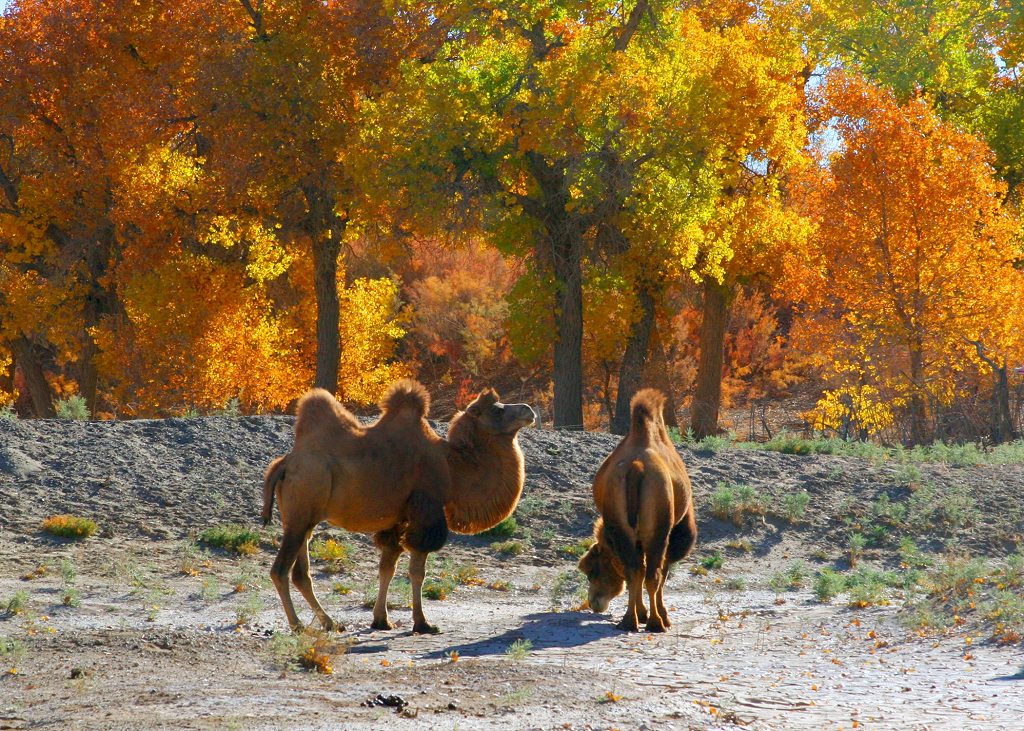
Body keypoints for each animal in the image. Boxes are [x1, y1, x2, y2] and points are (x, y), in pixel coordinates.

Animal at [260, 380, 536, 630]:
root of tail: (284, 463)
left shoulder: (399, 518)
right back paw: (298, 625)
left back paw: (330, 623)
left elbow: (387, 567)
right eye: (497, 410)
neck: (452, 468)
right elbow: (417, 572)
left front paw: (381, 620)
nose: (529, 410)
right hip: (301, 511)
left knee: (300, 573)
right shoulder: (426, 512)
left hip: (304, 519)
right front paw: (423, 623)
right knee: (280, 570)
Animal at [577, 387, 696, 630]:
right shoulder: (669, 533)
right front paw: (662, 615)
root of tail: (636, 467)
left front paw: (643, 613)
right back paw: (656, 623)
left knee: (635, 571)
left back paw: (630, 620)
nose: (593, 603)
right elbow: (661, 572)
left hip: (624, 528)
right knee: (652, 573)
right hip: (657, 532)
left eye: (592, 570)